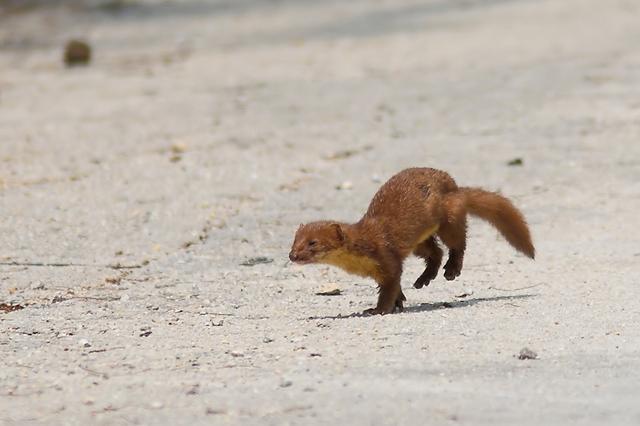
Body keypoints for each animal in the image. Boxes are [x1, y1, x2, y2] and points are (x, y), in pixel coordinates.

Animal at [288, 168, 532, 314]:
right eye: (294, 241)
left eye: (312, 243)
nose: (292, 255)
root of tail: (454, 186)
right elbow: (392, 286)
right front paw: (399, 301)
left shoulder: (386, 256)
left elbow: (390, 284)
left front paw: (377, 310)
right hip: (418, 241)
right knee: (435, 252)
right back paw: (424, 278)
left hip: (449, 216)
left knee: (457, 243)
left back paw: (452, 269)